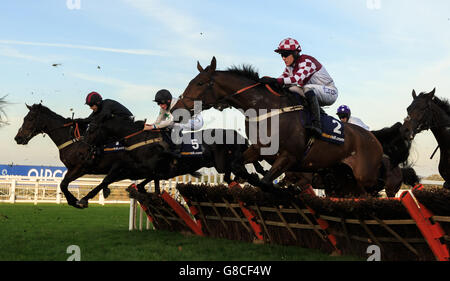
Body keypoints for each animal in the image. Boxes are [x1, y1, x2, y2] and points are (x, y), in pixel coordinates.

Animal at [14, 103, 156, 208]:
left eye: (29, 118)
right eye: (25, 118)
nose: (18, 138)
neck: (74, 139)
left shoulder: (81, 167)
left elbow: (63, 184)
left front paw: (76, 201)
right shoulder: (72, 168)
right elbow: (63, 184)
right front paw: (75, 200)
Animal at [171, 56, 382, 196]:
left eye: (199, 83)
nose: (176, 110)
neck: (264, 109)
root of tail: (374, 140)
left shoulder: (289, 157)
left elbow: (266, 183)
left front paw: (285, 190)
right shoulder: (259, 150)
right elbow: (238, 166)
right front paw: (249, 177)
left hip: (364, 178)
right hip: (340, 177)